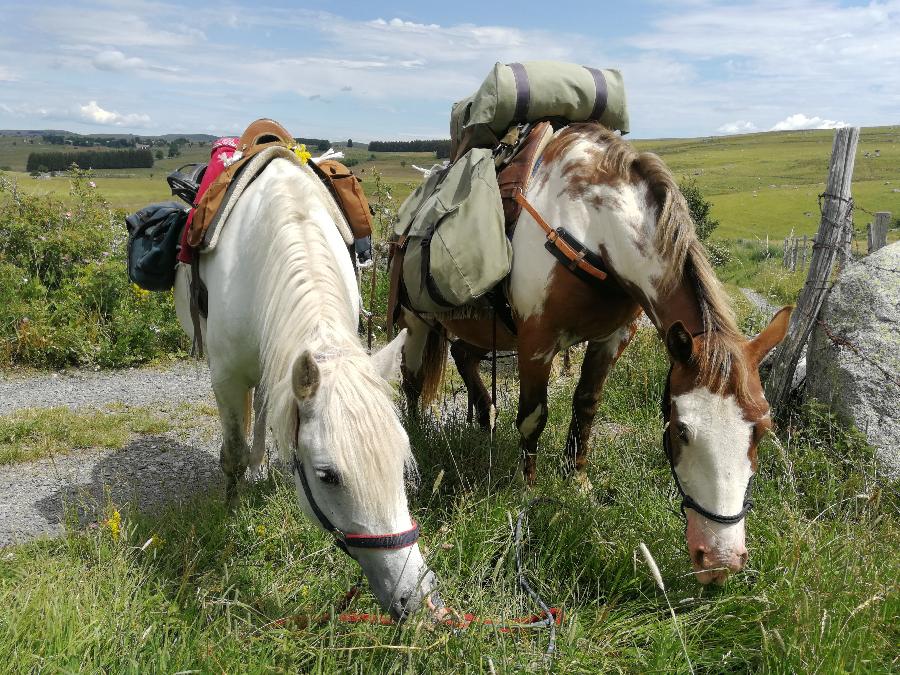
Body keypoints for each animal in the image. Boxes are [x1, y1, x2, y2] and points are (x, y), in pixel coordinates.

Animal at [173, 157, 440, 616]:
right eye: (327, 476)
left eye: (401, 458)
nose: (415, 599)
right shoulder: (226, 377)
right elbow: (234, 450)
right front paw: (231, 509)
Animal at [400, 124, 788, 584]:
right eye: (681, 431)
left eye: (762, 431)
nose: (720, 561)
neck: (592, 229)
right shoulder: (537, 342)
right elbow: (533, 417)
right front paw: (527, 488)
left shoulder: (612, 338)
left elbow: (586, 405)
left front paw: (577, 480)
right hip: (414, 321)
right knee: (410, 382)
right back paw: (414, 442)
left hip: (477, 330)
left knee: (464, 357)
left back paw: (484, 418)